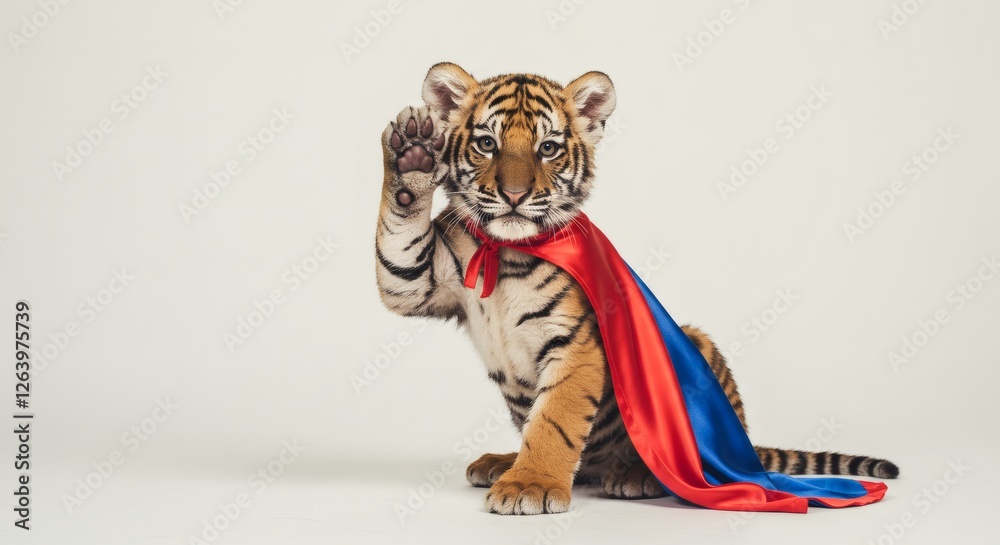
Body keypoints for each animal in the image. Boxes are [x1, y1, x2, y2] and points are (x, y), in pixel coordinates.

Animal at [374, 62, 899, 515]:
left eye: (548, 148)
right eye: (487, 143)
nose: (515, 195)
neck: (505, 250)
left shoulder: (575, 343)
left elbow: (553, 421)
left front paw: (531, 485)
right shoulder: (422, 281)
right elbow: (399, 247)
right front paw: (413, 153)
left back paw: (638, 476)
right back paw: (502, 462)